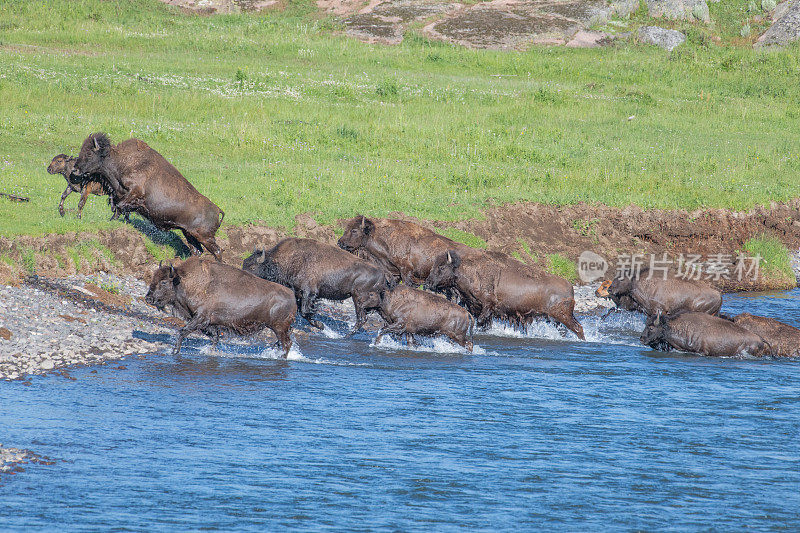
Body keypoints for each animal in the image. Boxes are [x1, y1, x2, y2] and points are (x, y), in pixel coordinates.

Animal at [72, 132, 225, 258]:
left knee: (217, 251)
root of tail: (217, 210)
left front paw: (112, 220)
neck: (121, 161)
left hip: (204, 237)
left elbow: (119, 207)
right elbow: (120, 209)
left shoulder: (134, 193)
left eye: (89, 153)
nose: (75, 169)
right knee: (197, 250)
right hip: (188, 233)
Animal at [145, 256, 296, 356]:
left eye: (164, 282)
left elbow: (183, 331)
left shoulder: (200, 318)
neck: (185, 282)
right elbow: (214, 338)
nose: (148, 298)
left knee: (286, 344)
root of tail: (292, 297)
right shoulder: (208, 323)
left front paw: (174, 351)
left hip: (279, 328)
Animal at [244, 239, 394, 334]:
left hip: (358, 299)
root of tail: (383, 273)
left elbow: (305, 312)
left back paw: (346, 335)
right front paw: (319, 325)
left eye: (253, 267)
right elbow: (303, 312)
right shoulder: (299, 294)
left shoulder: (309, 292)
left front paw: (320, 326)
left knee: (362, 319)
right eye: (244, 263)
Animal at [422, 248, 584, 338]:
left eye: (441, 267)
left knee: (578, 328)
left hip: (562, 316)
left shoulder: (488, 306)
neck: (470, 271)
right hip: (555, 319)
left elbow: (481, 321)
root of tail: (570, 287)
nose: (428, 283)